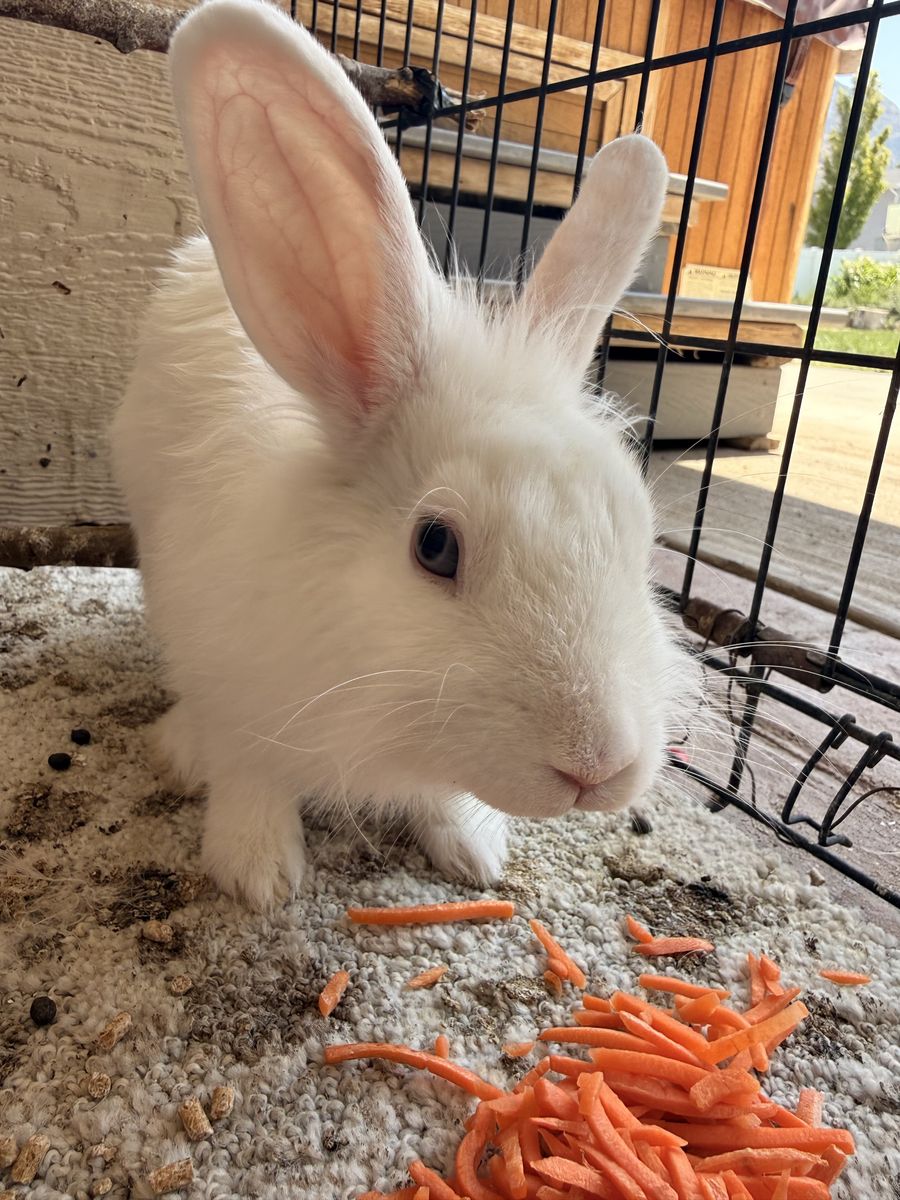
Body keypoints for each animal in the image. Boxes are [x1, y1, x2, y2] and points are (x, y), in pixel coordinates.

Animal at [111, 0, 698, 911]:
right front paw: (256, 870)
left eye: (641, 539)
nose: (597, 766)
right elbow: (247, 769)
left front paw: (471, 848)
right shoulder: (229, 676)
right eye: (435, 546)